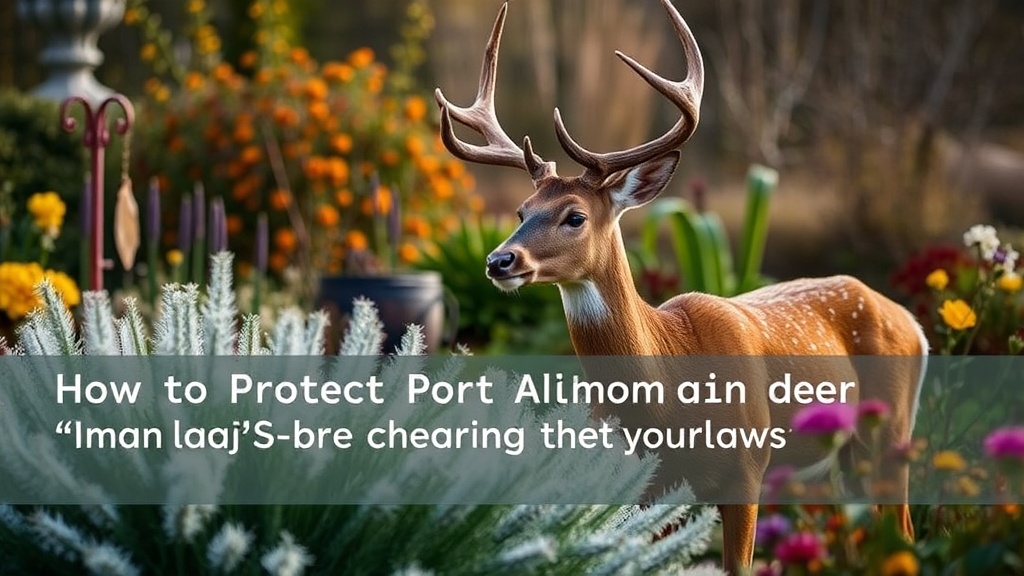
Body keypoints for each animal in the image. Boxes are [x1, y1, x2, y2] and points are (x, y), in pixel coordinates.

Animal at [434, 1, 928, 573]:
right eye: (521, 211)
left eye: (574, 216)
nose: (499, 260)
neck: (670, 386)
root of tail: (912, 322)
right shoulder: (646, 484)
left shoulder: (748, 468)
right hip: (840, 463)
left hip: (890, 434)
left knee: (906, 534)